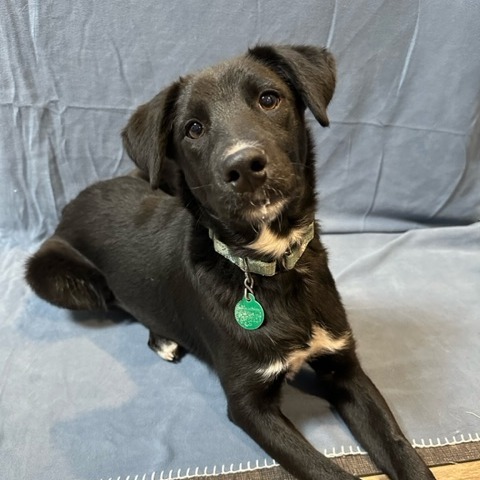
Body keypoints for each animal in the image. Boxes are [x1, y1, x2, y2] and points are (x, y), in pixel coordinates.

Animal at [25, 46, 436, 480]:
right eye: (193, 129)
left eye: (269, 99)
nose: (243, 166)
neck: (273, 265)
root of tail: (73, 202)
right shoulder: (248, 405)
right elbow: (325, 472)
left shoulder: (345, 367)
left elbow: (400, 447)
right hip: (61, 277)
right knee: (119, 301)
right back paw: (163, 338)